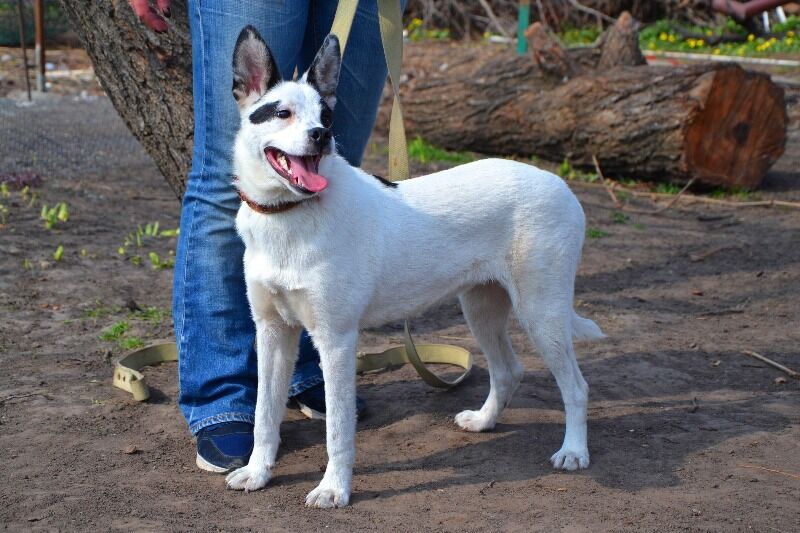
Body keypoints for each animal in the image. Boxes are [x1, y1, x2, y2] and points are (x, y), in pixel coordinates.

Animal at [222, 28, 604, 508]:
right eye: (282, 113)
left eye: (326, 116)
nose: (321, 136)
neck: (289, 215)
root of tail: (563, 186)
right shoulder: (273, 333)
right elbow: (263, 414)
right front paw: (257, 472)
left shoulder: (336, 340)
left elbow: (338, 430)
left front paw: (334, 489)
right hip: (481, 308)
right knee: (508, 370)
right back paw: (484, 421)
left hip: (542, 312)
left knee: (576, 387)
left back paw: (573, 451)